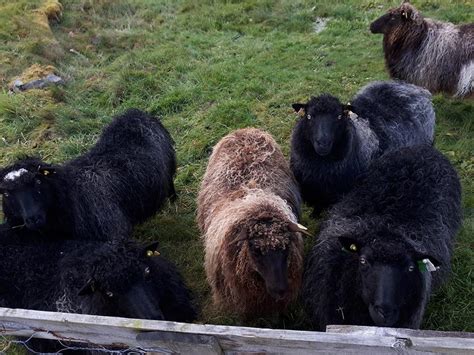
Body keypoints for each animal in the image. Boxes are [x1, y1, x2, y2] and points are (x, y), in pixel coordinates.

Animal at [0, 108, 177, 242]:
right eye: (6, 194)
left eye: (38, 182)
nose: (33, 218)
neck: (69, 196)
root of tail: (134, 112)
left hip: (169, 166)